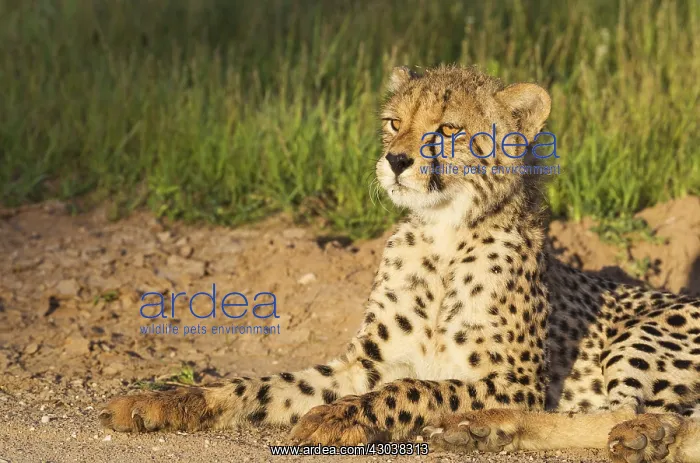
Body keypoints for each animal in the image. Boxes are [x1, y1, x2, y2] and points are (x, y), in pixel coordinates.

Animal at [99, 65, 700, 463]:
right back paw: (482, 431)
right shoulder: (360, 365)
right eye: (393, 122)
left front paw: (341, 416)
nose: (395, 160)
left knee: (635, 415)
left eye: (450, 130)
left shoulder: (515, 382)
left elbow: (418, 388)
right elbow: (258, 386)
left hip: (643, 336)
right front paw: (161, 401)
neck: (443, 236)